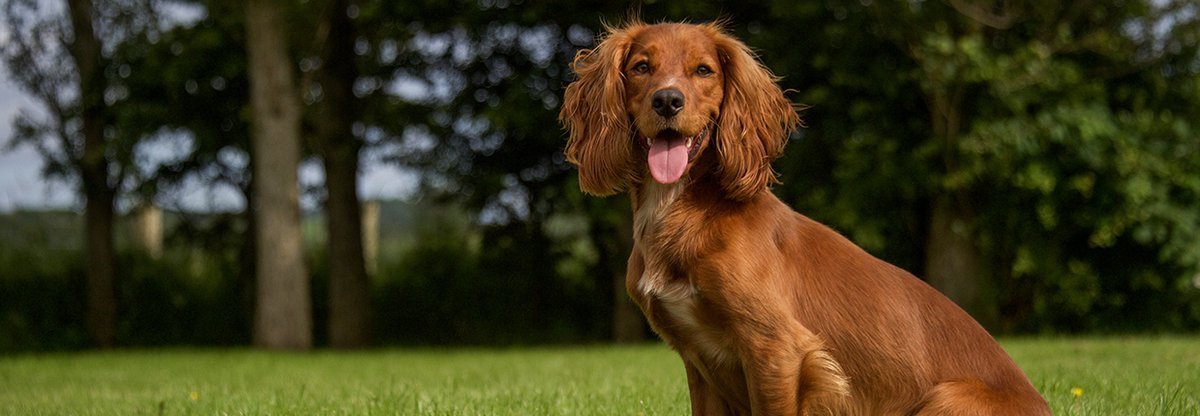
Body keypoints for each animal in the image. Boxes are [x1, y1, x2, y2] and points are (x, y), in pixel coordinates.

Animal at [559, 21, 1051, 414]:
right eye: (642, 67)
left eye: (704, 70)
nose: (667, 101)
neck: (683, 209)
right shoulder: (699, 362)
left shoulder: (779, 349)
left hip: (946, 397)